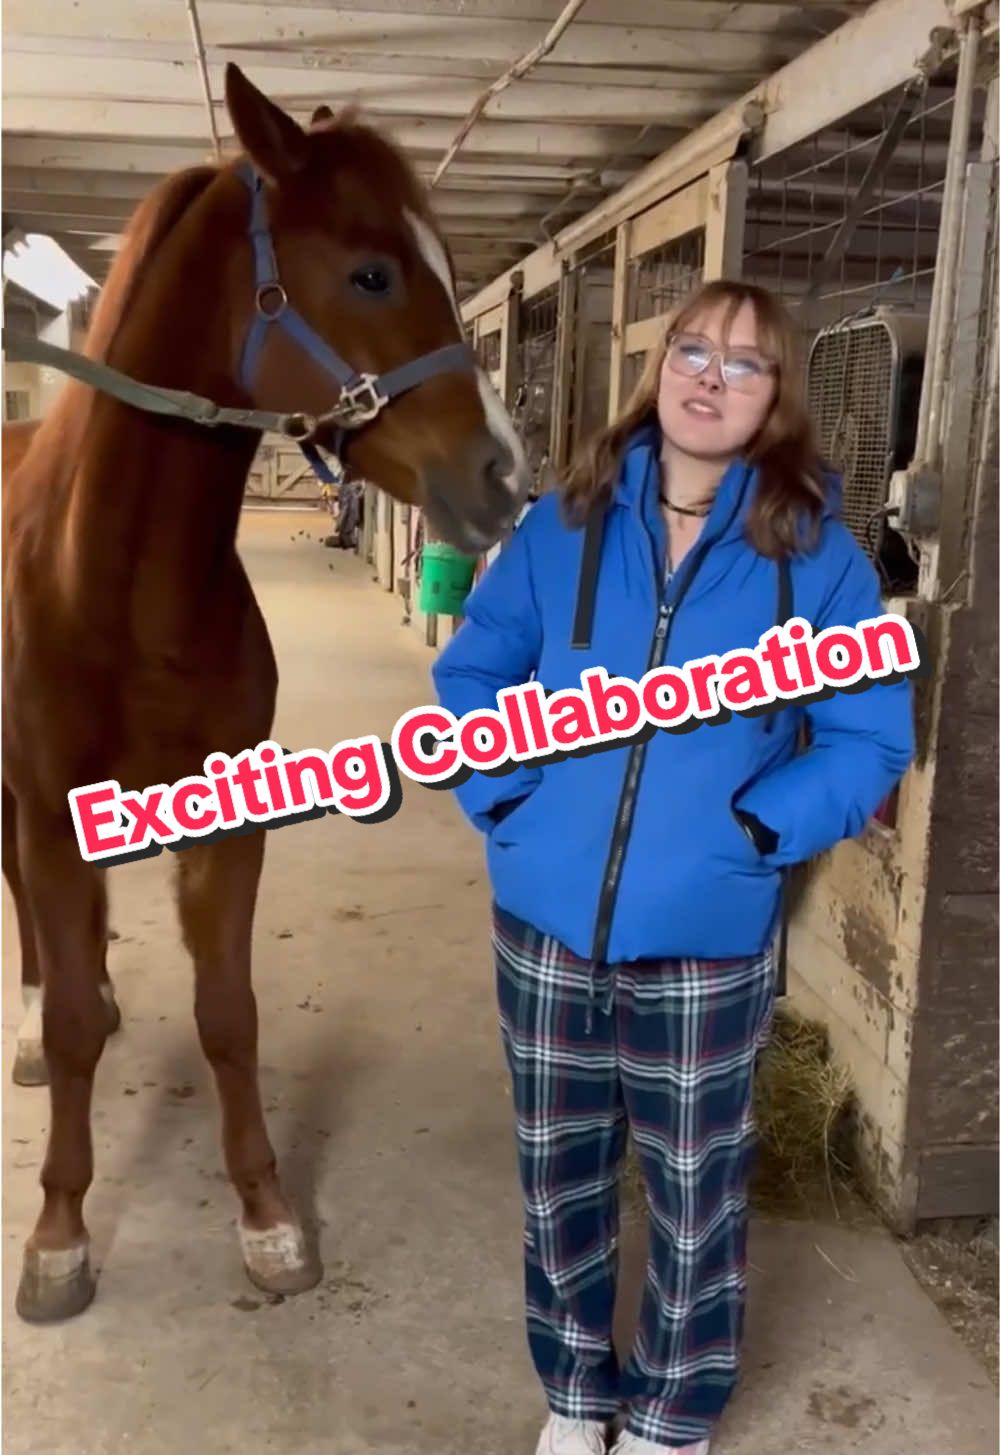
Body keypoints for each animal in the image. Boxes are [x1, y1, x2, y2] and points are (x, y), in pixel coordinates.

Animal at [1, 61, 530, 1325]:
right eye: (373, 271)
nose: (505, 473)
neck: (120, 589)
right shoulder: (48, 811)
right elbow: (81, 1027)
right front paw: (59, 1236)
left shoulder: (226, 823)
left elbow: (227, 1015)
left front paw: (267, 1216)